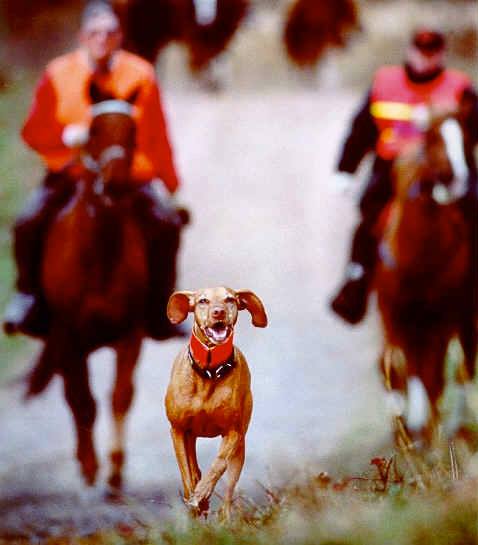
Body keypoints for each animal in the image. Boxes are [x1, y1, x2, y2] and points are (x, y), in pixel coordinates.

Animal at [27, 89, 149, 488]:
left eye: (133, 131)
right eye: (93, 130)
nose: (116, 183)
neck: (100, 256)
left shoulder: (131, 333)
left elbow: (120, 395)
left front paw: (115, 466)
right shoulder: (69, 337)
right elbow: (84, 401)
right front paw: (92, 465)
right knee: (73, 396)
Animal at [166, 286, 268, 516]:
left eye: (230, 299)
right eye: (203, 301)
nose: (218, 312)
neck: (209, 371)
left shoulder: (233, 432)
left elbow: (218, 464)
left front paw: (203, 491)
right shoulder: (178, 430)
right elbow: (186, 472)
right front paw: (195, 496)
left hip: (240, 447)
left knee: (229, 489)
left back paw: (223, 515)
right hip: (190, 434)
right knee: (192, 465)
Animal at [376, 103, 476, 446]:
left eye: (466, 136)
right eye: (432, 137)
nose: (457, 179)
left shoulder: (441, 319)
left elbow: (431, 374)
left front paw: (427, 428)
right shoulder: (395, 316)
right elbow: (407, 368)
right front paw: (410, 426)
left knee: (463, 364)